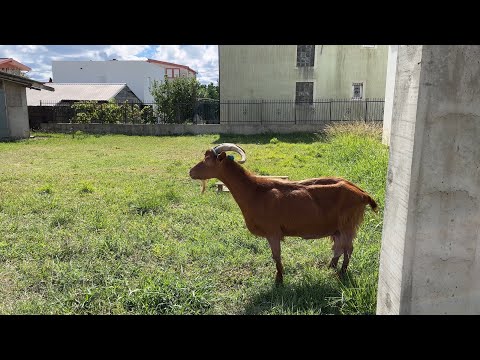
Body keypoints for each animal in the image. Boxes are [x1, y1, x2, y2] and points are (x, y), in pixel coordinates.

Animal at [189, 143, 376, 284]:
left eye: (207, 160)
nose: (190, 172)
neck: (255, 190)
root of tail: (362, 194)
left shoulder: (273, 232)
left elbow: (276, 256)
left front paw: (279, 279)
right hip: (337, 228)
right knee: (338, 247)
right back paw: (331, 266)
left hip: (348, 224)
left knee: (348, 248)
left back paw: (342, 272)